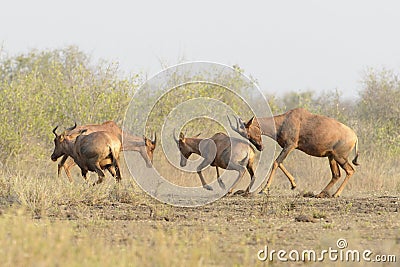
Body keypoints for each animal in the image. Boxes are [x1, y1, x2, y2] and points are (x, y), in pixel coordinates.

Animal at [230, 108, 360, 198]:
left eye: (248, 133)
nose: (260, 147)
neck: (285, 120)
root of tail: (355, 136)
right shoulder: (287, 147)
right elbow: (279, 163)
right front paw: (293, 185)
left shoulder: (290, 145)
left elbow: (276, 163)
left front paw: (264, 190)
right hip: (331, 157)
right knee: (336, 174)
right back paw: (320, 194)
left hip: (340, 157)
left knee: (350, 170)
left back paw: (336, 194)